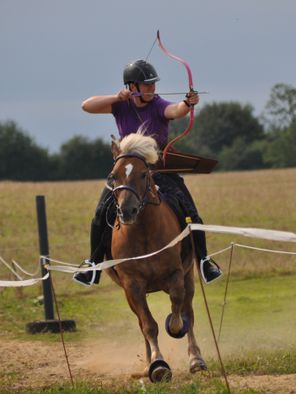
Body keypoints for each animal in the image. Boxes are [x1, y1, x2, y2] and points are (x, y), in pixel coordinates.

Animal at [105, 132, 207, 382]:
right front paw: (158, 364)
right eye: (113, 175)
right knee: (142, 323)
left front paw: (175, 327)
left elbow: (179, 311)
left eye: (143, 174)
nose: (127, 210)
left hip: (188, 277)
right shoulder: (132, 286)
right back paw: (147, 363)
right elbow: (148, 325)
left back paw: (196, 358)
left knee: (188, 311)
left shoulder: (176, 274)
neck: (143, 232)